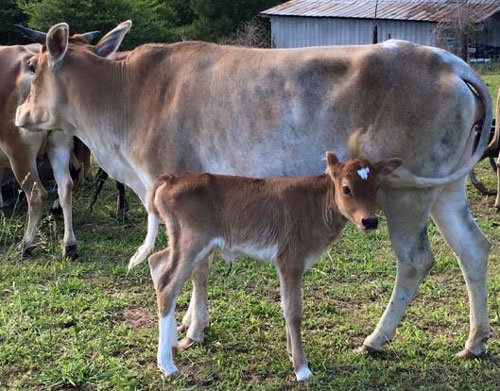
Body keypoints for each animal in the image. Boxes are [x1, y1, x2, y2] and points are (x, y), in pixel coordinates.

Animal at [130, 152, 402, 380]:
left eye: (376, 187)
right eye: (346, 189)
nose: (370, 221)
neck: (316, 206)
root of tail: (174, 178)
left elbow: (285, 307)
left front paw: (291, 353)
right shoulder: (290, 261)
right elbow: (294, 312)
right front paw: (302, 369)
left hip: (186, 243)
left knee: (157, 262)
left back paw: (172, 344)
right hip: (192, 242)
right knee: (168, 285)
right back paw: (167, 365)